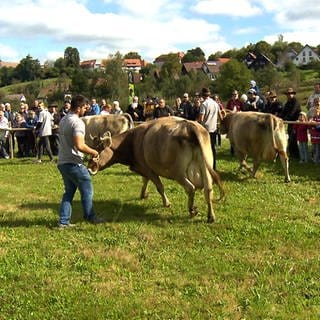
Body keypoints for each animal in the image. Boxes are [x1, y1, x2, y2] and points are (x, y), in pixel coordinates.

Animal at [86, 117, 224, 222]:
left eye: (97, 152)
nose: (89, 167)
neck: (133, 139)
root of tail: (189, 126)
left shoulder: (148, 169)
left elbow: (159, 186)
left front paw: (166, 203)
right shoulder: (144, 167)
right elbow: (145, 181)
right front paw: (143, 194)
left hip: (178, 173)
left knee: (190, 188)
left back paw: (191, 210)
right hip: (206, 167)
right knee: (208, 190)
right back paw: (211, 216)